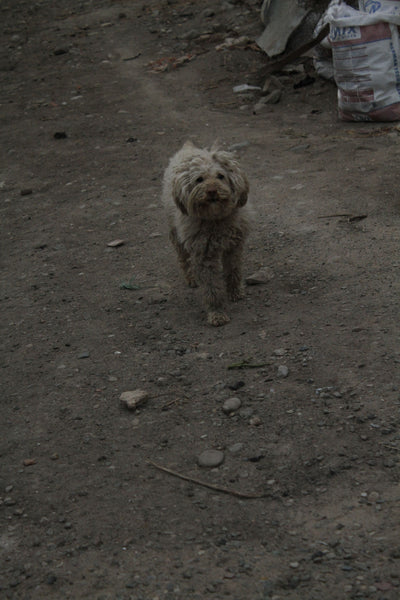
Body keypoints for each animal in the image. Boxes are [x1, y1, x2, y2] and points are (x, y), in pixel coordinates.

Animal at [161, 141, 248, 326]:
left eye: (221, 176)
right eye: (199, 179)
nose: (212, 191)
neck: (215, 219)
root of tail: (187, 148)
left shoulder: (234, 246)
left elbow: (233, 270)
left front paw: (235, 292)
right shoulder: (204, 254)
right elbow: (211, 286)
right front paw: (217, 313)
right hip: (176, 235)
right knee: (184, 259)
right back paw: (192, 278)